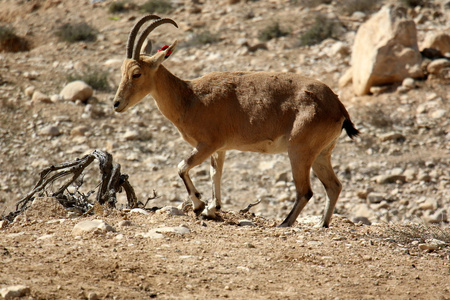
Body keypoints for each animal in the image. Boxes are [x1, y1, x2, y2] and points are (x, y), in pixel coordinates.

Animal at [112, 15, 358, 226]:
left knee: (305, 191)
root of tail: (338, 106)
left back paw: (284, 224)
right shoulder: (220, 148)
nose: (116, 104)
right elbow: (215, 174)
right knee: (334, 186)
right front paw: (212, 209)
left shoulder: (207, 144)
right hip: (321, 153)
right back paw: (321, 224)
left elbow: (181, 167)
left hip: (299, 150)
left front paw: (199, 205)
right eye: (121, 71)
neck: (189, 98)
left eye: (136, 73)